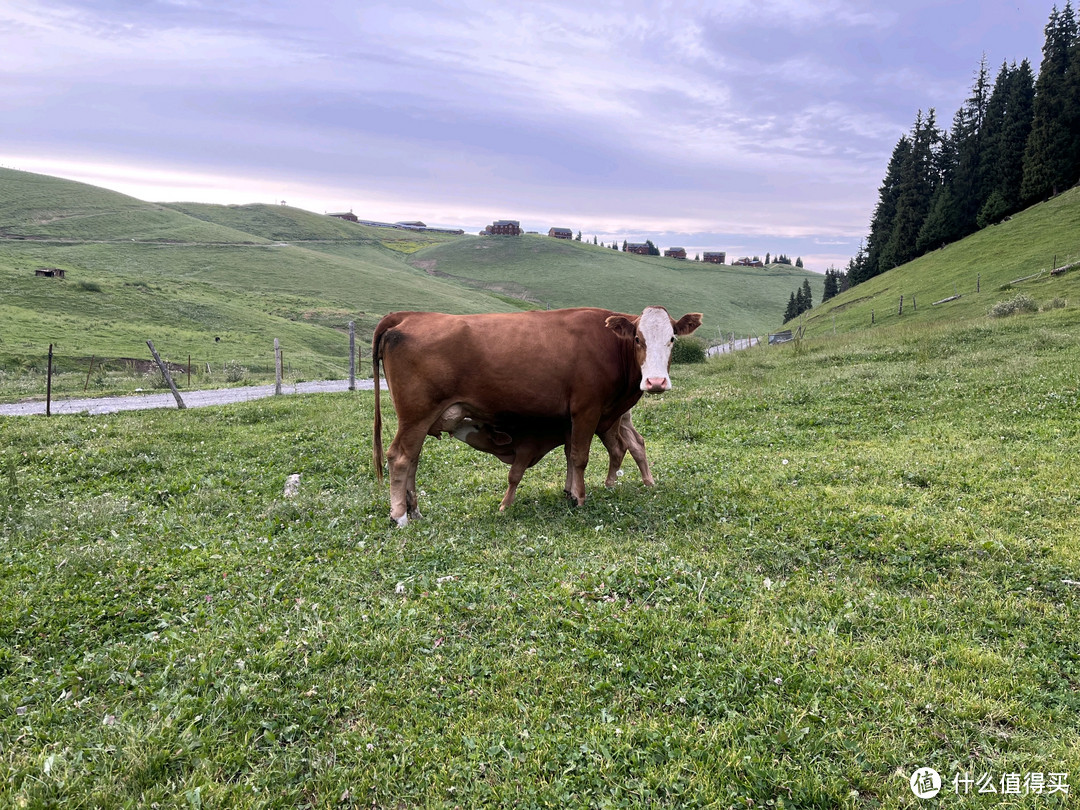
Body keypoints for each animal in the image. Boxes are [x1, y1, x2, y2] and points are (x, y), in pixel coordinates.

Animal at [375, 306, 704, 527]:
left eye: (672, 339)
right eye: (638, 338)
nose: (656, 382)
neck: (608, 343)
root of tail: (409, 315)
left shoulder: (572, 417)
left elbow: (571, 454)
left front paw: (569, 492)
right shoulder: (587, 409)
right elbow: (581, 456)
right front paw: (580, 498)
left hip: (420, 419)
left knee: (413, 458)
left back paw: (414, 510)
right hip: (416, 415)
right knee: (400, 458)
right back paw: (399, 515)